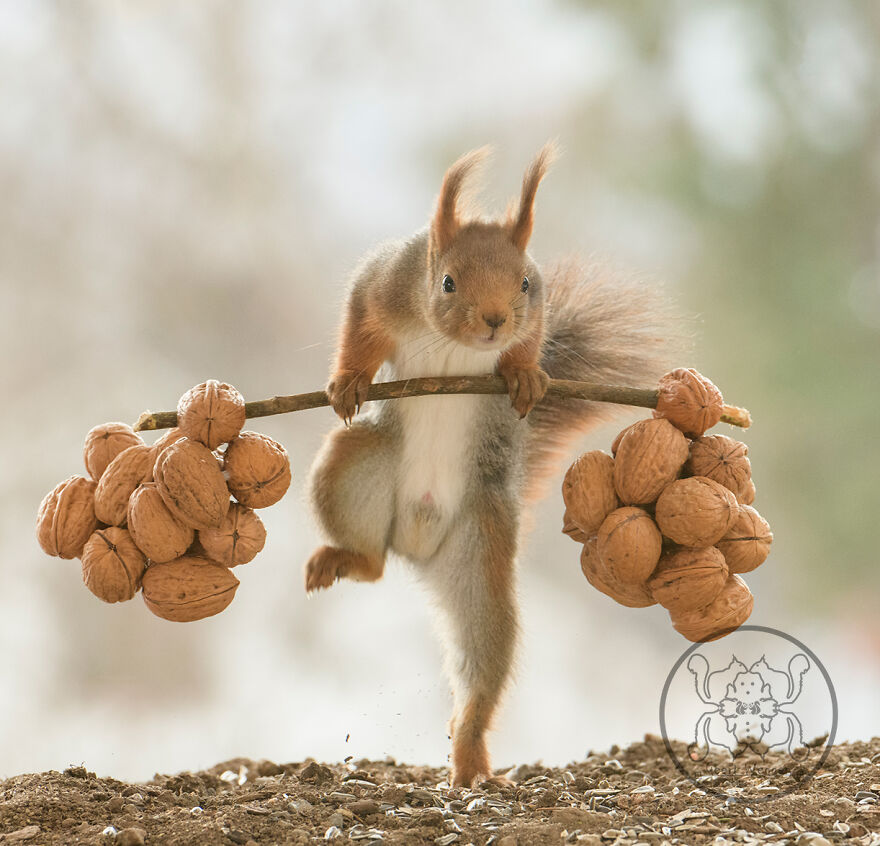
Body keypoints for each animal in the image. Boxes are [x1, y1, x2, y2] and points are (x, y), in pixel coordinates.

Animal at [306, 144, 672, 788]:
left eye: (525, 281)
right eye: (447, 282)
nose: (496, 320)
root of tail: (415, 542)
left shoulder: (537, 309)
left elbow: (531, 344)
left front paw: (524, 375)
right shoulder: (382, 283)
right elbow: (359, 327)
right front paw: (348, 381)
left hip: (481, 550)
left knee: (481, 658)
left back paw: (471, 758)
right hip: (352, 467)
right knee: (370, 562)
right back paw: (349, 558)